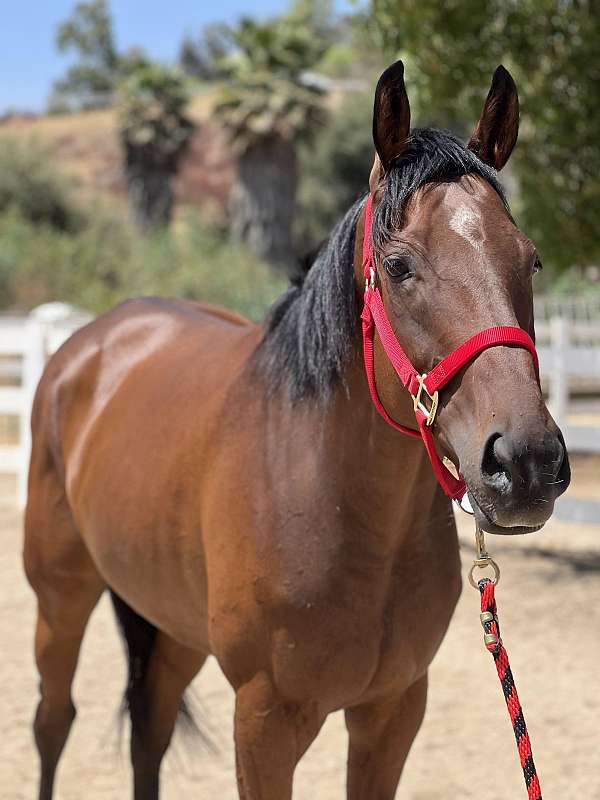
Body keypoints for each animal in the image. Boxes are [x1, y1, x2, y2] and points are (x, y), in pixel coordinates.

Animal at [24, 62, 572, 800]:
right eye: (398, 266)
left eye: (531, 260)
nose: (527, 463)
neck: (331, 499)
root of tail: (91, 343)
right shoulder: (264, 719)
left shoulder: (393, 711)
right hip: (61, 600)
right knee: (54, 722)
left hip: (173, 626)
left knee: (151, 729)